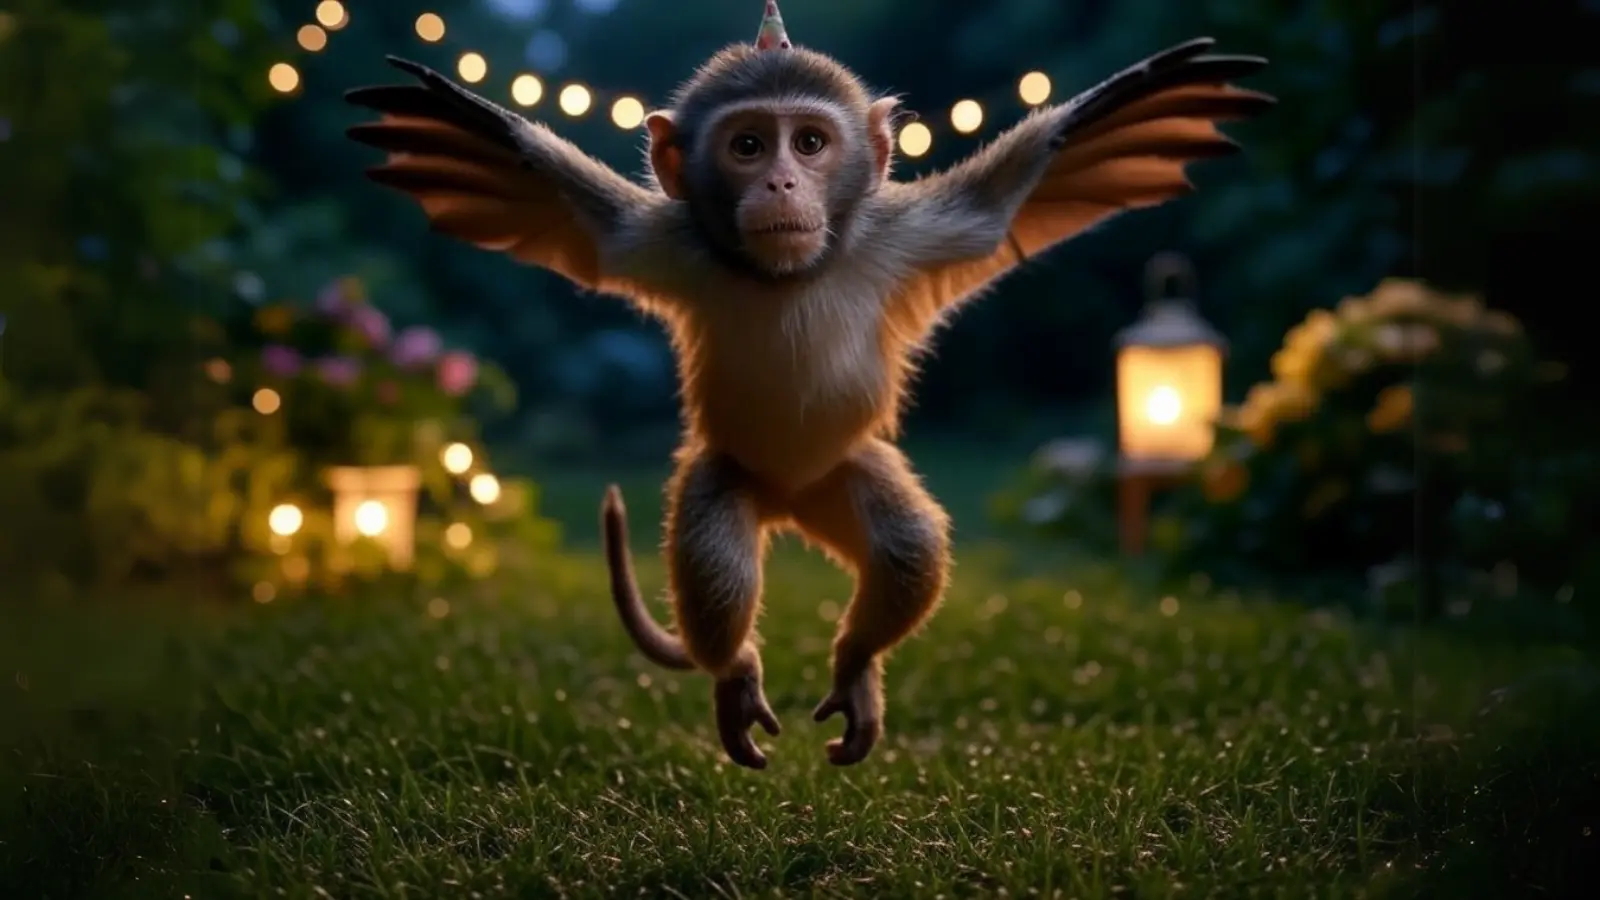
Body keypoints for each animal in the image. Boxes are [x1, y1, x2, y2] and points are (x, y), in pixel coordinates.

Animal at [344, 0, 1273, 770]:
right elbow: (564, 189)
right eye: (749, 145)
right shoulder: (657, 238)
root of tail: (788, 502)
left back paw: (856, 663)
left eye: (812, 144)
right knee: (718, 563)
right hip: (732, 475)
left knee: (907, 546)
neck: (792, 273)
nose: (782, 183)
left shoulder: (910, 233)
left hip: (841, 472)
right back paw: (735, 675)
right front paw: (485, 131)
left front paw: (1123, 104)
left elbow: (1013, 187)